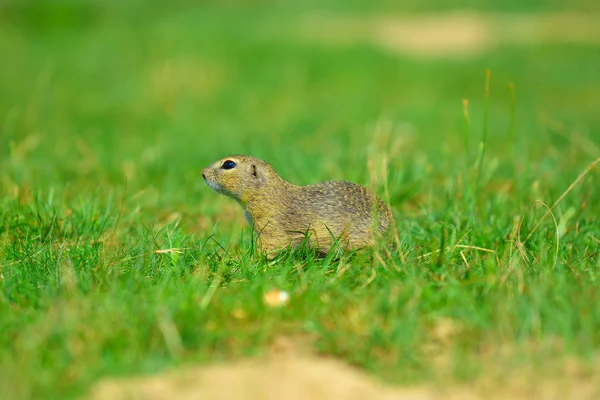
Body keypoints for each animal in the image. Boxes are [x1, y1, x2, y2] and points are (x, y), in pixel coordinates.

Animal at [203, 155, 394, 258]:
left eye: (229, 164)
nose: (203, 173)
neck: (268, 194)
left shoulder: (272, 228)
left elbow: (271, 246)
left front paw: (245, 259)